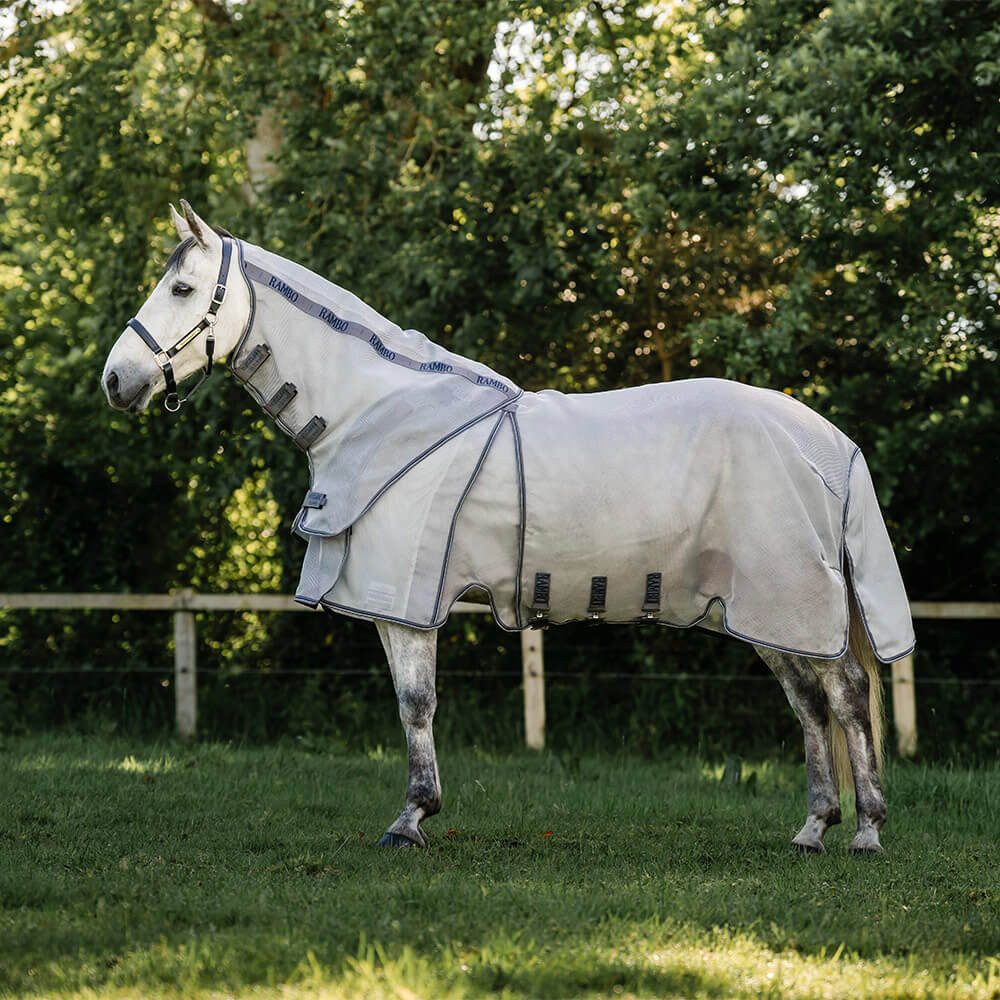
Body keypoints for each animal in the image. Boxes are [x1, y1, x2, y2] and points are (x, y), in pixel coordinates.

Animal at [102, 201, 915, 854]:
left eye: (180, 288)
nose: (115, 380)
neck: (378, 412)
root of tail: (828, 441)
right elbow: (409, 703)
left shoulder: (405, 599)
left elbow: (416, 703)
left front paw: (410, 820)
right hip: (762, 612)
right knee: (810, 704)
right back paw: (814, 827)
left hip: (791, 600)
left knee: (845, 696)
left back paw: (868, 831)